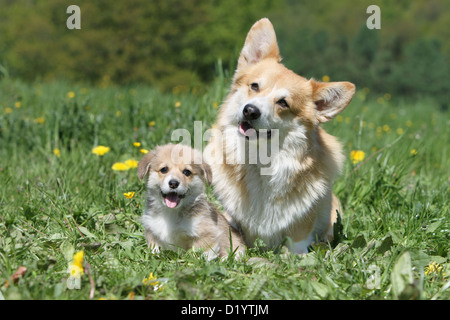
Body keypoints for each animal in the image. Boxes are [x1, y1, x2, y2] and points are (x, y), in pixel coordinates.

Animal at [204, 18, 356, 252]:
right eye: (254, 86)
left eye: (283, 103)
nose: (250, 110)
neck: (261, 160)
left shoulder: (301, 228)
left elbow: (295, 245)